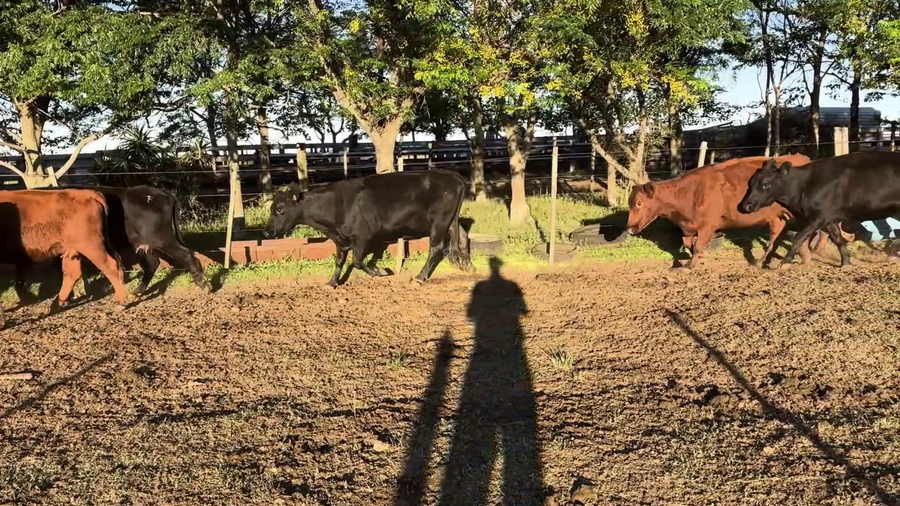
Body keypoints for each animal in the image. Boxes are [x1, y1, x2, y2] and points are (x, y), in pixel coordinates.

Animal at [0, 189, 129, 322]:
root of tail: (85, 193)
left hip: (91, 247)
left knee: (111, 266)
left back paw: (121, 303)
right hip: (73, 251)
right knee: (72, 274)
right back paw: (56, 305)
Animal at [264, 170, 473, 287]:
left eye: (280, 209)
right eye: (272, 208)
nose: (267, 231)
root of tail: (451, 175)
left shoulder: (362, 236)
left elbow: (356, 261)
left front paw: (379, 273)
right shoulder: (340, 239)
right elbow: (339, 261)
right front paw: (332, 282)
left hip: (439, 221)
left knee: (436, 248)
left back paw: (420, 277)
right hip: (451, 221)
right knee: (463, 237)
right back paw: (468, 266)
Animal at [625, 154, 823, 269]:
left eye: (639, 203)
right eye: (630, 203)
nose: (630, 227)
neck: (689, 192)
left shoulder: (708, 225)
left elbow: (698, 246)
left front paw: (689, 265)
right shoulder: (688, 227)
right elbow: (689, 245)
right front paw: (700, 258)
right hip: (780, 217)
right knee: (787, 237)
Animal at [740, 150, 900, 268]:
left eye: (766, 183)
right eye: (751, 183)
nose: (746, 205)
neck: (803, 186)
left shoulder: (818, 217)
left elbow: (799, 237)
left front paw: (785, 262)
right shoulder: (829, 218)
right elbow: (837, 239)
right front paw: (846, 263)